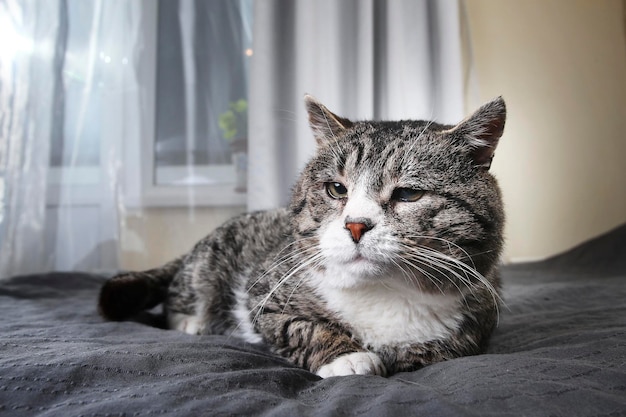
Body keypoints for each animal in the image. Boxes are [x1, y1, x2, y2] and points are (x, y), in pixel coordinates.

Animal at [98, 96, 508, 376]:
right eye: (336, 189)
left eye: (408, 194)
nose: (356, 224)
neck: (383, 294)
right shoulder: (264, 295)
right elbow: (301, 328)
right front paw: (348, 357)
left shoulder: (476, 323)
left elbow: (434, 352)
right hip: (206, 268)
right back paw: (193, 323)